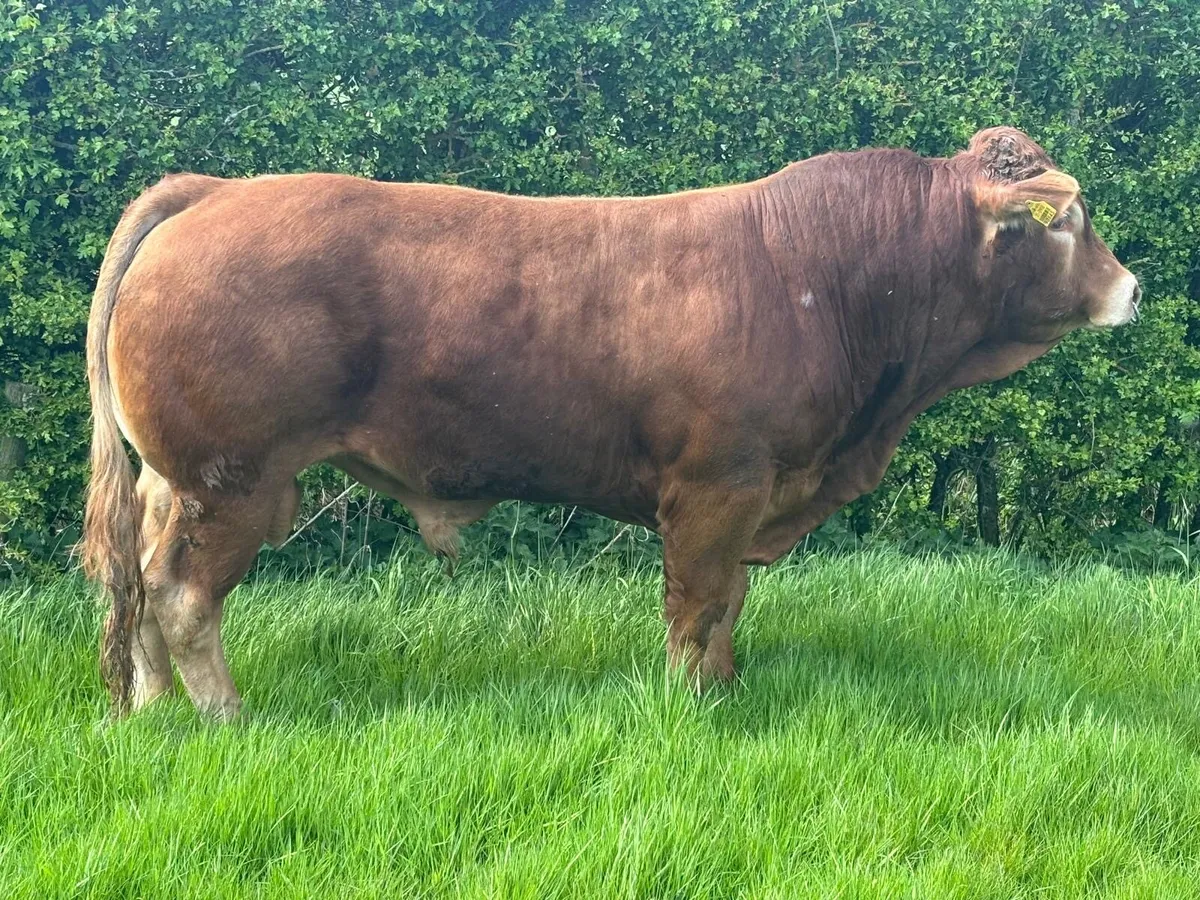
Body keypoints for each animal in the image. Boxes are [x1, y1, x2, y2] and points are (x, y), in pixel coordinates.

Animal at [81, 127, 1139, 720]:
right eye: (1065, 219)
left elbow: (729, 605)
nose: (1131, 288)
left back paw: (150, 710)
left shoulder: (752, 491)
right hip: (234, 478)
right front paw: (692, 705)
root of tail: (216, 191)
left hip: (175, 479)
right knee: (181, 595)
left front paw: (726, 689)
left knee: (140, 584)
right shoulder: (717, 485)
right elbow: (698, 602)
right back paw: (222, 715)